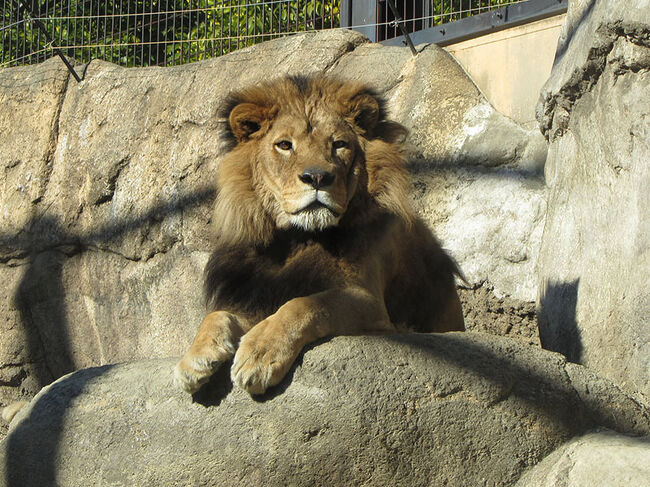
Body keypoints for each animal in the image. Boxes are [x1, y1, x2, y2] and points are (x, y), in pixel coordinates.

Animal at [175, 76, 464, 396]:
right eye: (285, 145)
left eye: (339, 145)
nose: (317, 177)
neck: (295, 240)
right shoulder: (256, 297)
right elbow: (216, 315)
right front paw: (195, 359)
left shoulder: (372, 306)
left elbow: (305, 304)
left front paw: (259, 353)